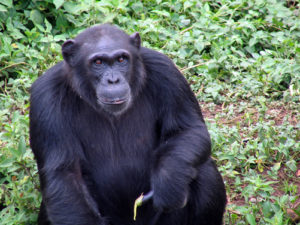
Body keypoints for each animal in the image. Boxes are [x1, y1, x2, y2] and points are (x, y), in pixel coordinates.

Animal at [30, 23, 226, 224]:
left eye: (121, 59)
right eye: (98, 62)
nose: (113, 80)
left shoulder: (167, 72)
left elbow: (188, 130)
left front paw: (169, 182)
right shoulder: (46, 97)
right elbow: (65, 174)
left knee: (205, 171)